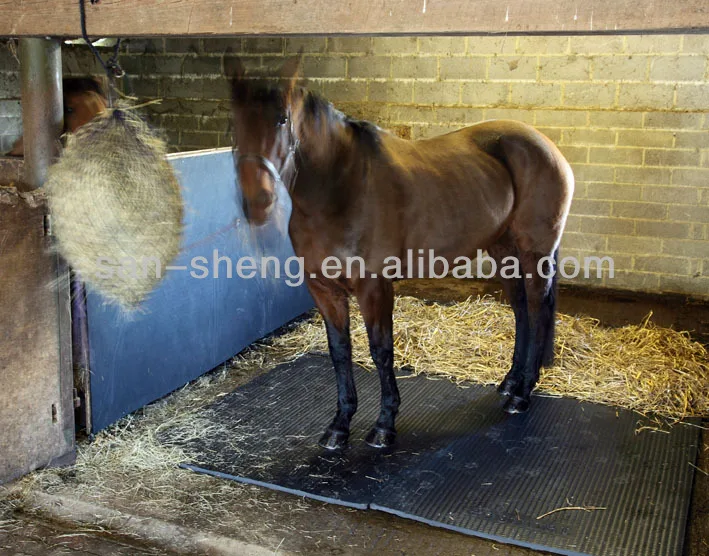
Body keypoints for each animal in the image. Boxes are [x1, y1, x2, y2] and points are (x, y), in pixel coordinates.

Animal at [229, 55, 574, 450]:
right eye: (234, 123)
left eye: (282, 119)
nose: (257, 202)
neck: (341, 190)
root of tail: (545, 146)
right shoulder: (324, 290)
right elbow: (339, 351)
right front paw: (339, 425)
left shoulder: (374, 288)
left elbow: (381, 350)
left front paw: (384, 425)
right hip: (503, 250)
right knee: (520, 312)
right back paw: (510, 383)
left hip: (536, 253)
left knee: (537, 310)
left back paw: (522, 394)